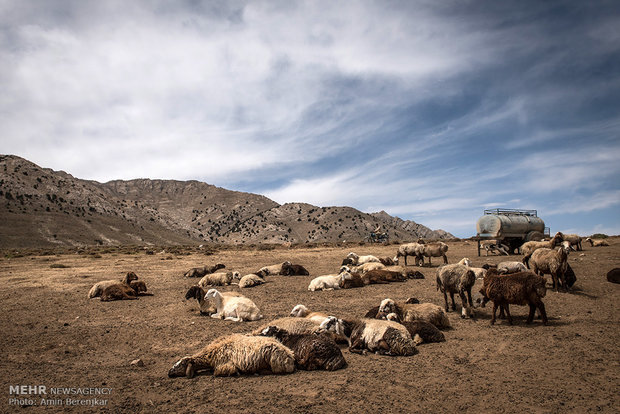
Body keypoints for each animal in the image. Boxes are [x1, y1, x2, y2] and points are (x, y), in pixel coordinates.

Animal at [167, 334, 296, 378]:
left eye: (182, 364)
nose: (169, 372)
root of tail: (290, 356)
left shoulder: (225, 365)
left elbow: (217, 372)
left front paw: (237, 373)